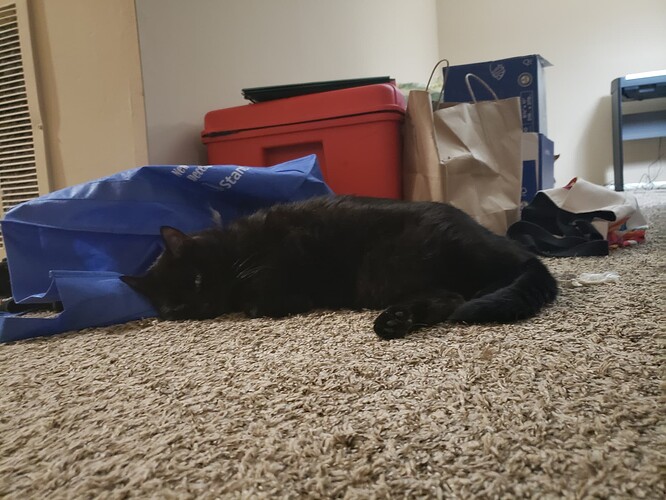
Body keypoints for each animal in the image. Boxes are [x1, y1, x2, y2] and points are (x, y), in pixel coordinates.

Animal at [119, 195, 556, 340]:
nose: (202, 305)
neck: (236, 248)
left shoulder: (290, 249)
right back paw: (394, 322)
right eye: (176, 309)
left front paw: (268, 301)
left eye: (195, 279)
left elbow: (263, 296)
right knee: (448, 298)